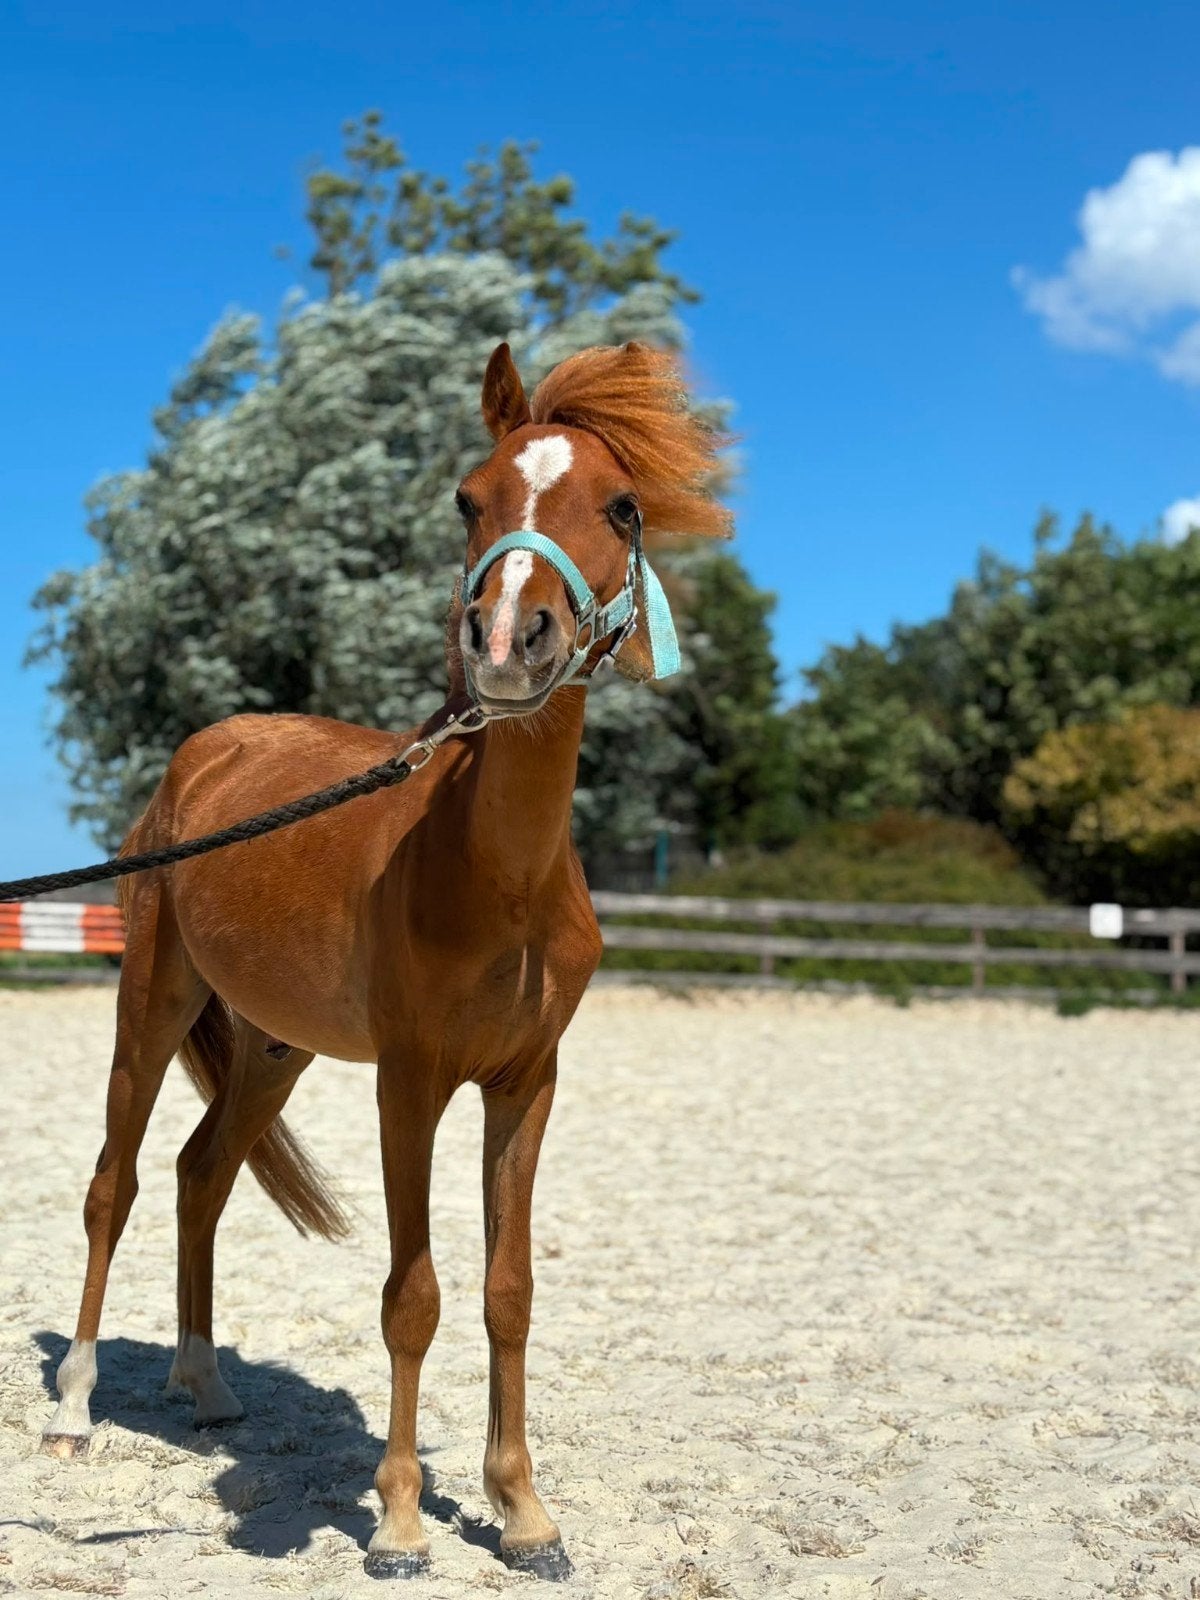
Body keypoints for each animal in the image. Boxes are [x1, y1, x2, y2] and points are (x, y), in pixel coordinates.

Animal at [40, 339, 730, 1580]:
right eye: (468, 496)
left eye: (623, 504)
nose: (508, 640)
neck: (494, 874)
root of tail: (201, 762)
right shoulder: (409, 1083)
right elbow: (413, 1294)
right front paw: (403, 1524)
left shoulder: (526, 1083)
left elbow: (509, 1290)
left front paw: (524, 1513)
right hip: (153, 1002)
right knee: (115, 1185)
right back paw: (72, 1406)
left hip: (275, 1049)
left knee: (201, 1174)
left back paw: (208, 1386)